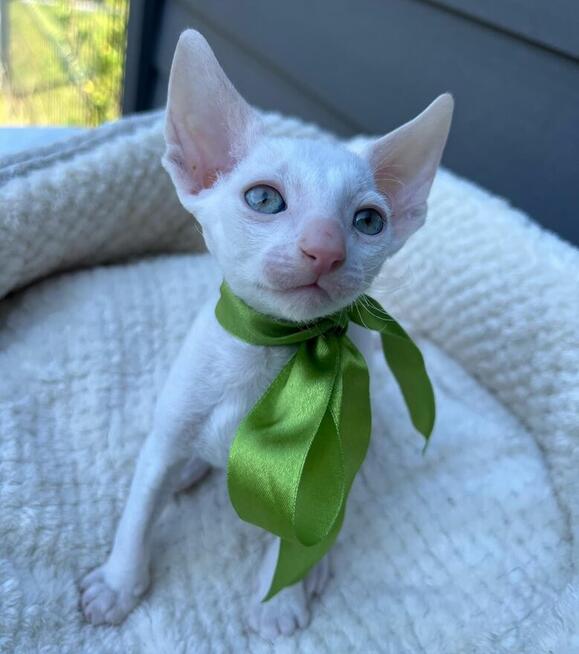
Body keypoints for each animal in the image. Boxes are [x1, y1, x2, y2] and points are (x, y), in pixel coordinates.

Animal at [80, 30, 454, 640]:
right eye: (264, 199)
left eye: (369, 222)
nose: (326, 247)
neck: (273, 356)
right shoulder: (163, 439)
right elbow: (139, 511)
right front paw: (117, 584)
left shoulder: (316, 470)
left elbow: (297, 531)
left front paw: (279, 598)